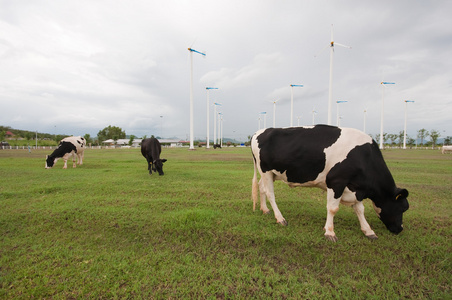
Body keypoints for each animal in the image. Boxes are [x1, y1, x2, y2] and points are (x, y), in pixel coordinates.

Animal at [251, 125, 410, 243]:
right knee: (270, 193)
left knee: (261, 187)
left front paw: (368, 231)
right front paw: (330, 232)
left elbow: (360, 209)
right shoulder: (336, 181)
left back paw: (265, 209)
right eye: (403, 208)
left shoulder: (356, 187)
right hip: (265, 170)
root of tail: (259, 132)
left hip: (270, 173)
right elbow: (333, 208)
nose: (400, 229)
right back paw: (280, 218)